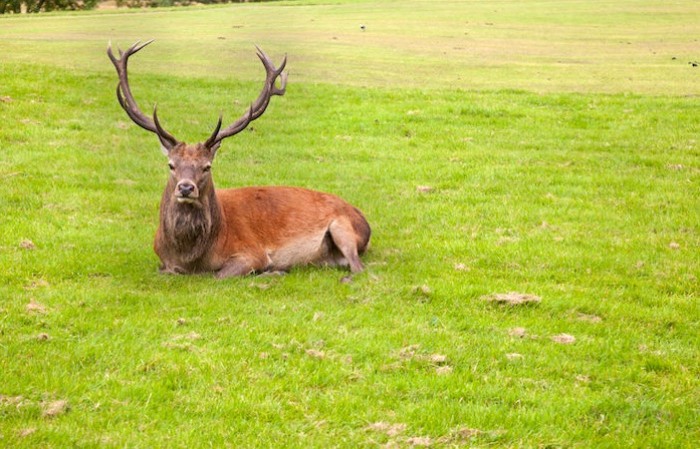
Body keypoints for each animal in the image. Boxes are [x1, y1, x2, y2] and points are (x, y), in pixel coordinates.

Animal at [106, 41, 370, 276]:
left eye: (207, 167)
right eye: (171, 165)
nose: (185, 187)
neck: (192, 258)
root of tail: (364, 220)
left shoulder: (251, 252)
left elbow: (218, 275)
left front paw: (269, 270)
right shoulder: (163, 262)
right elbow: (167, 272)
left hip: (343, 227)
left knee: (358, 268)